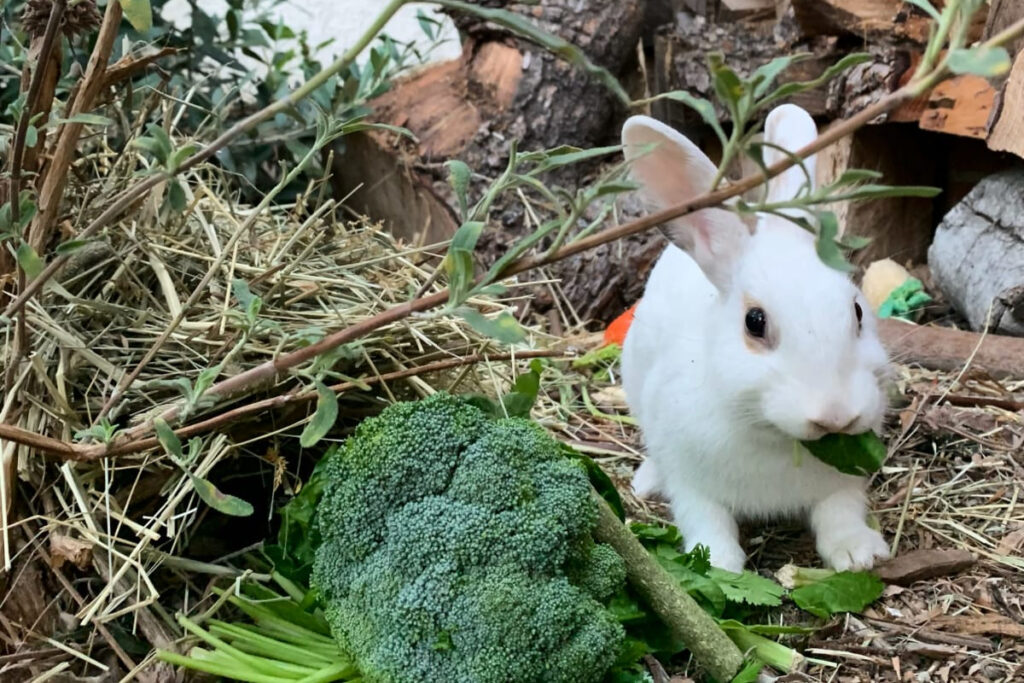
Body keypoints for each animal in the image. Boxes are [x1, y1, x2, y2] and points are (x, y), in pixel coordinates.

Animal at [618, 104, 892, 573]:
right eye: (755, 322)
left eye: (857, 311)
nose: (836, 416)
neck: (774, 436)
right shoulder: (692, 482)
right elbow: (705, 519)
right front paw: (718, 564)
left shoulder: (842, 482)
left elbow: (840, 511)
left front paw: (858, 554)